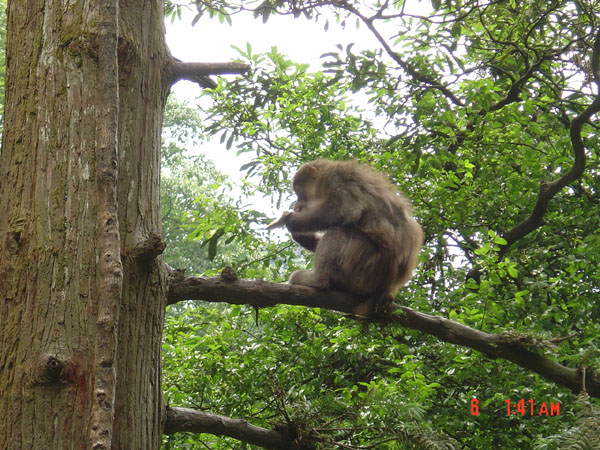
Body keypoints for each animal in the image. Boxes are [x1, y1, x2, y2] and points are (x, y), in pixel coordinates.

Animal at [268, 160, 422, 314]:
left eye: (299, 193)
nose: (297, 206)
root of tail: (387, 287)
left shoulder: (337, 180)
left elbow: (346, 210)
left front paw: (291, 222)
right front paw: (302, 236)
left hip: (367, 264)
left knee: (337, 232)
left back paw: (317, 280)